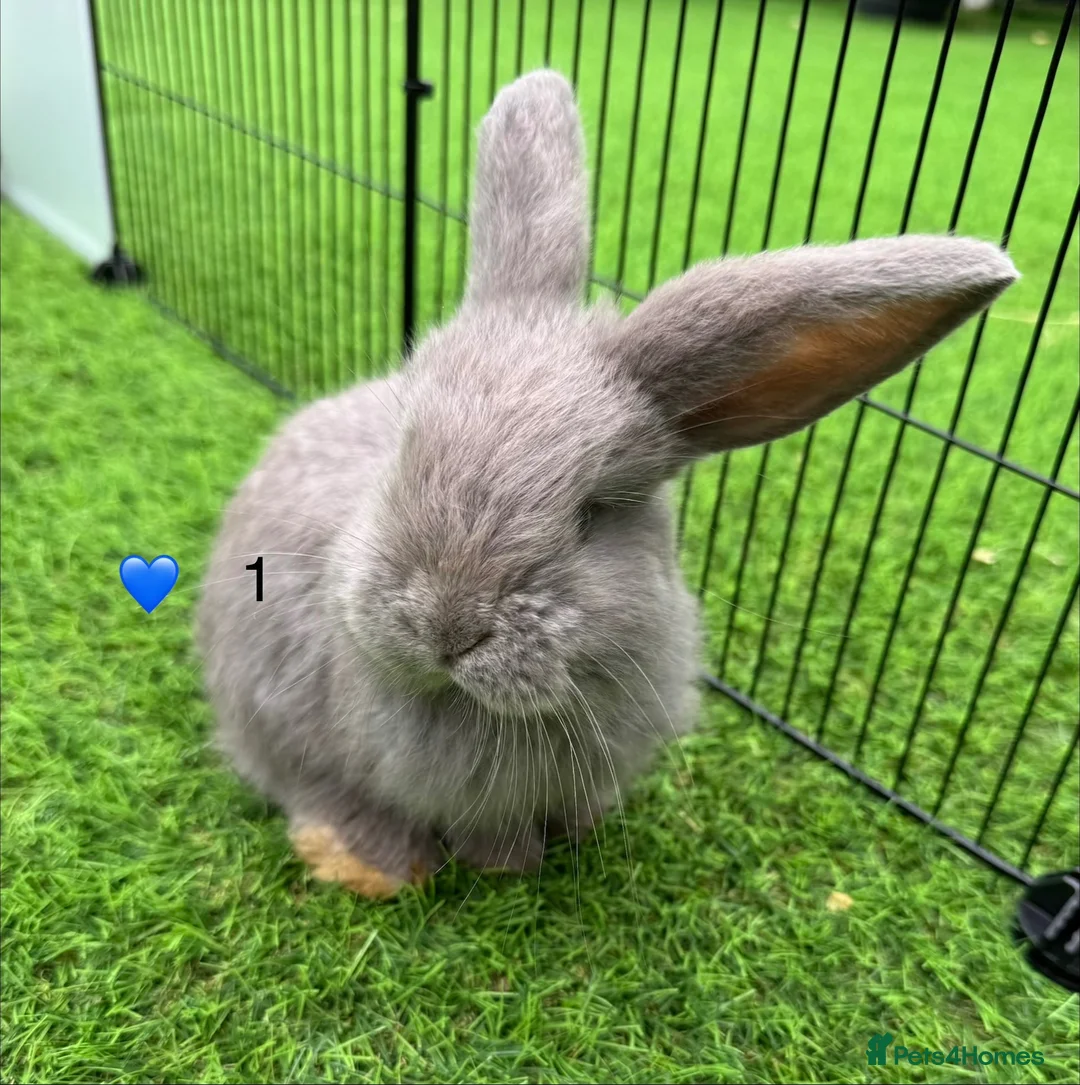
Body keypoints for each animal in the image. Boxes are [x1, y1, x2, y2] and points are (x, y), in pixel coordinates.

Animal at [196, 69, 1018, 898]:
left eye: (592, 512)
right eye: (402, 452)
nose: (444, 627)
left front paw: (544, 848)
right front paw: (470, 868)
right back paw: (369, 867)